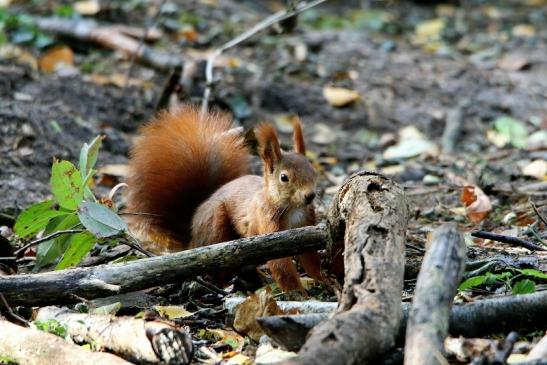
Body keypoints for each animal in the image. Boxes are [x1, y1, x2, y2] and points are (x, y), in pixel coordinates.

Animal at [126, 104, 324, 292]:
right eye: (284, 177)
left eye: (313, 171)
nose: (310, 196)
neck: (291, 208)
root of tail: (193, 238)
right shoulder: (268, 224)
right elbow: (281, 265)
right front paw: (299, 294)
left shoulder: (305, 225)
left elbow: (310, 258)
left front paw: (324, 280)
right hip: (216, 226)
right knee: (219, 271)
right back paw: (231, 283)